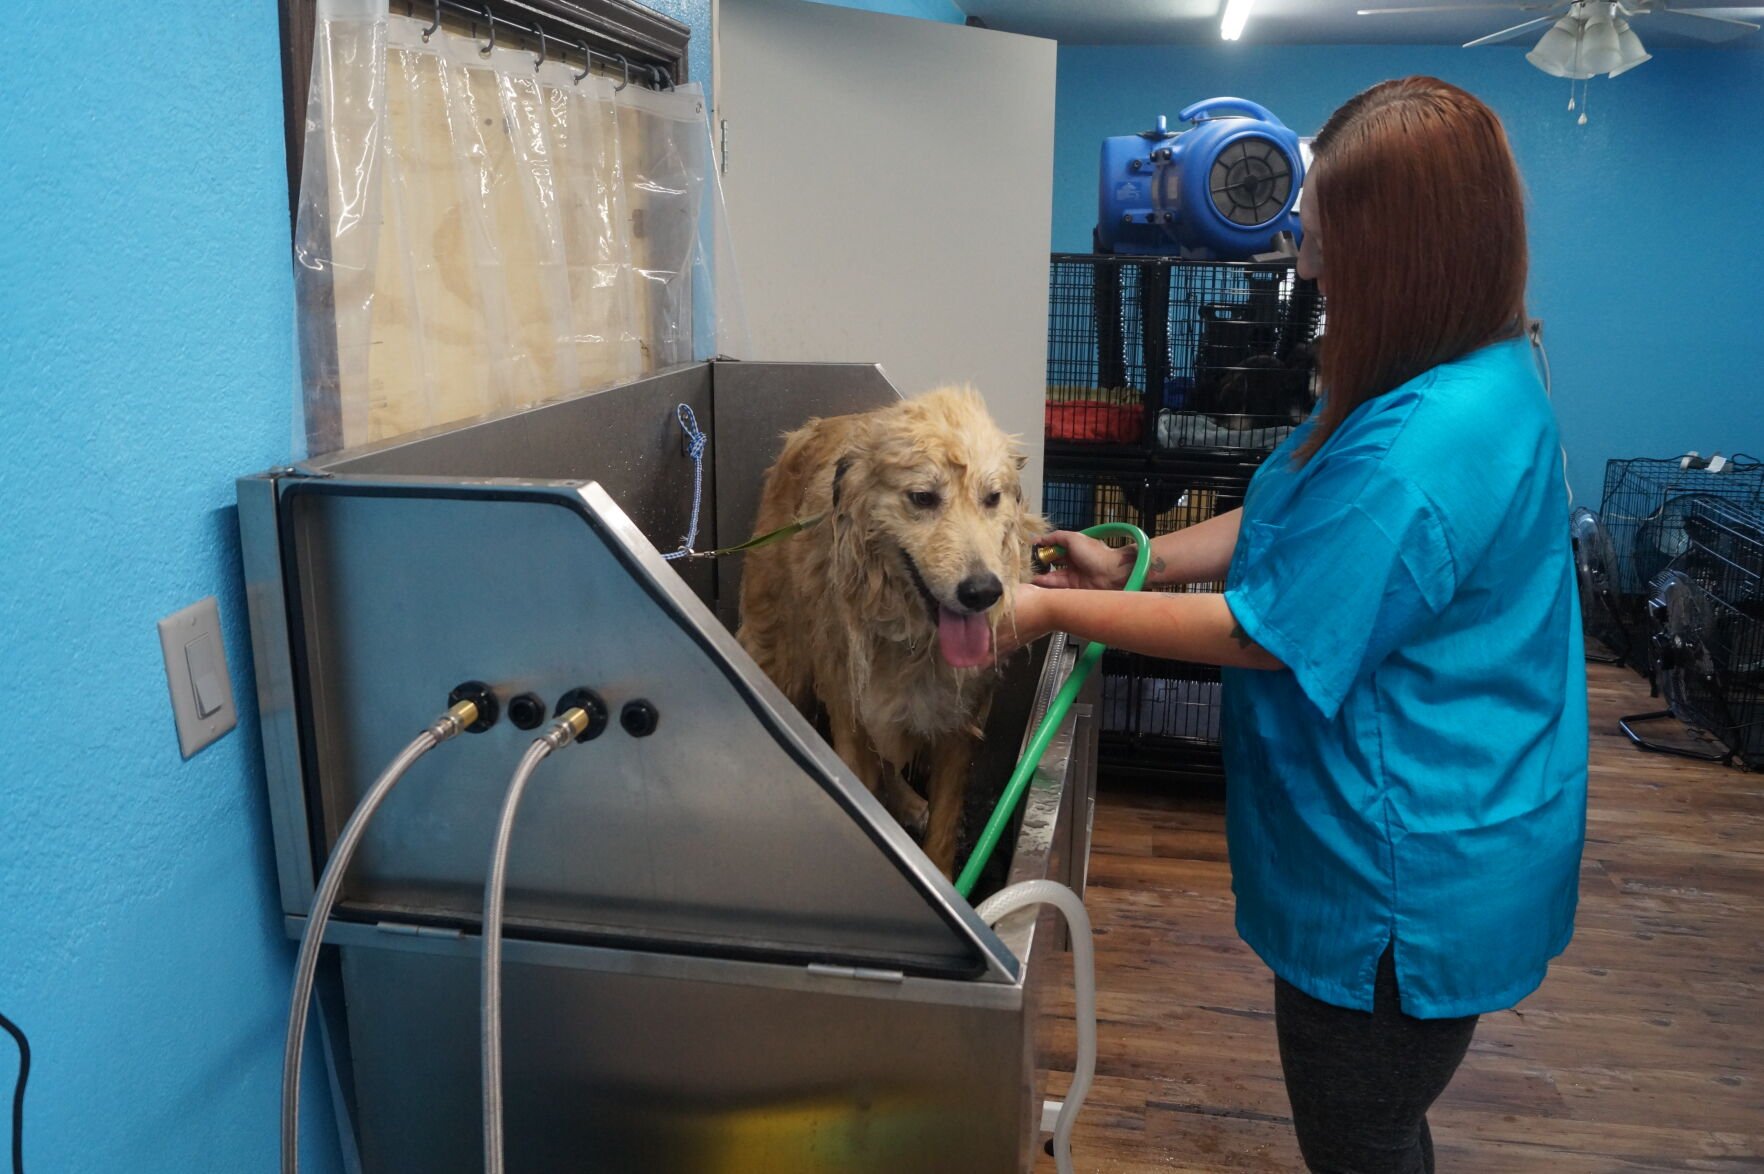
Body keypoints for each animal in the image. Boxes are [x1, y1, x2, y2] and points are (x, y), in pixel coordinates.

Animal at [733, 387, 1037, 874]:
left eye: (992, 498)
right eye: (923, 497)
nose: (982, 592)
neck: (911, 633)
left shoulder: (957, 721)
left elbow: (944, 826)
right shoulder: (851, 706)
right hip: (785, 660)